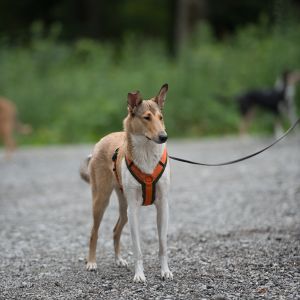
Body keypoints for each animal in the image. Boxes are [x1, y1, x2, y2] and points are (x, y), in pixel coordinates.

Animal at [80, 84, 173, 282]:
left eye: (161, 117)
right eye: (147, 117)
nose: (164, 137)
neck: (147, 155)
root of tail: (102, 139)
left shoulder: (163, 206)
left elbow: (162, 244)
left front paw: (165, 271)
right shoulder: (135, 208)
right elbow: (137, 248)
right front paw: (139, 275)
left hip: (124, 208)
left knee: (116, 230)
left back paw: (119, 260)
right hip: (102, 201)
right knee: (94, 232)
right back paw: (91, 262)